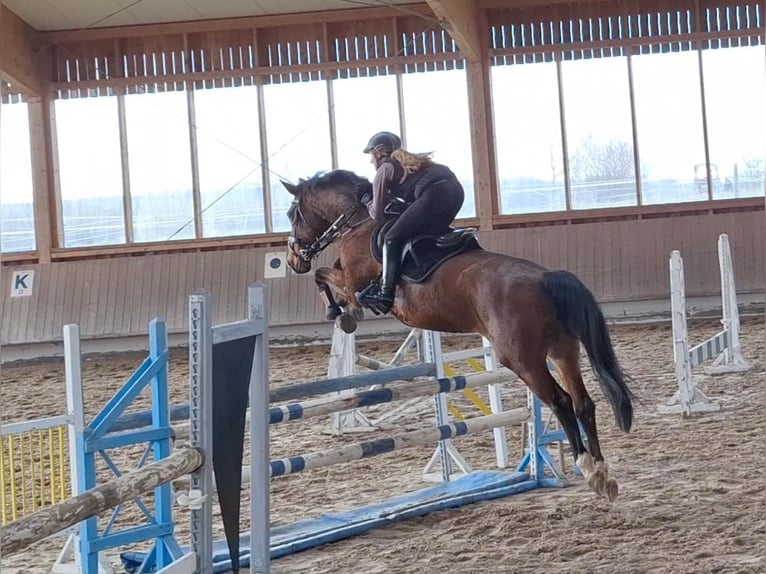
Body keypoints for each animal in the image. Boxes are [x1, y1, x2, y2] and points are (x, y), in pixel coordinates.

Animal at [284, 169, 640, 502]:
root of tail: (546, 277)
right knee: (583, 402)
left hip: (524, 361)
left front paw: (339, 314)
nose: (293, 260)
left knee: (562, 402)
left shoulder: (352, 283)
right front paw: (340, 312)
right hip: (562, 351)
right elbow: (326, 274)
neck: (358, 223)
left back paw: (587, 467)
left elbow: (324, 277)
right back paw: (603, 474)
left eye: (292, 215)